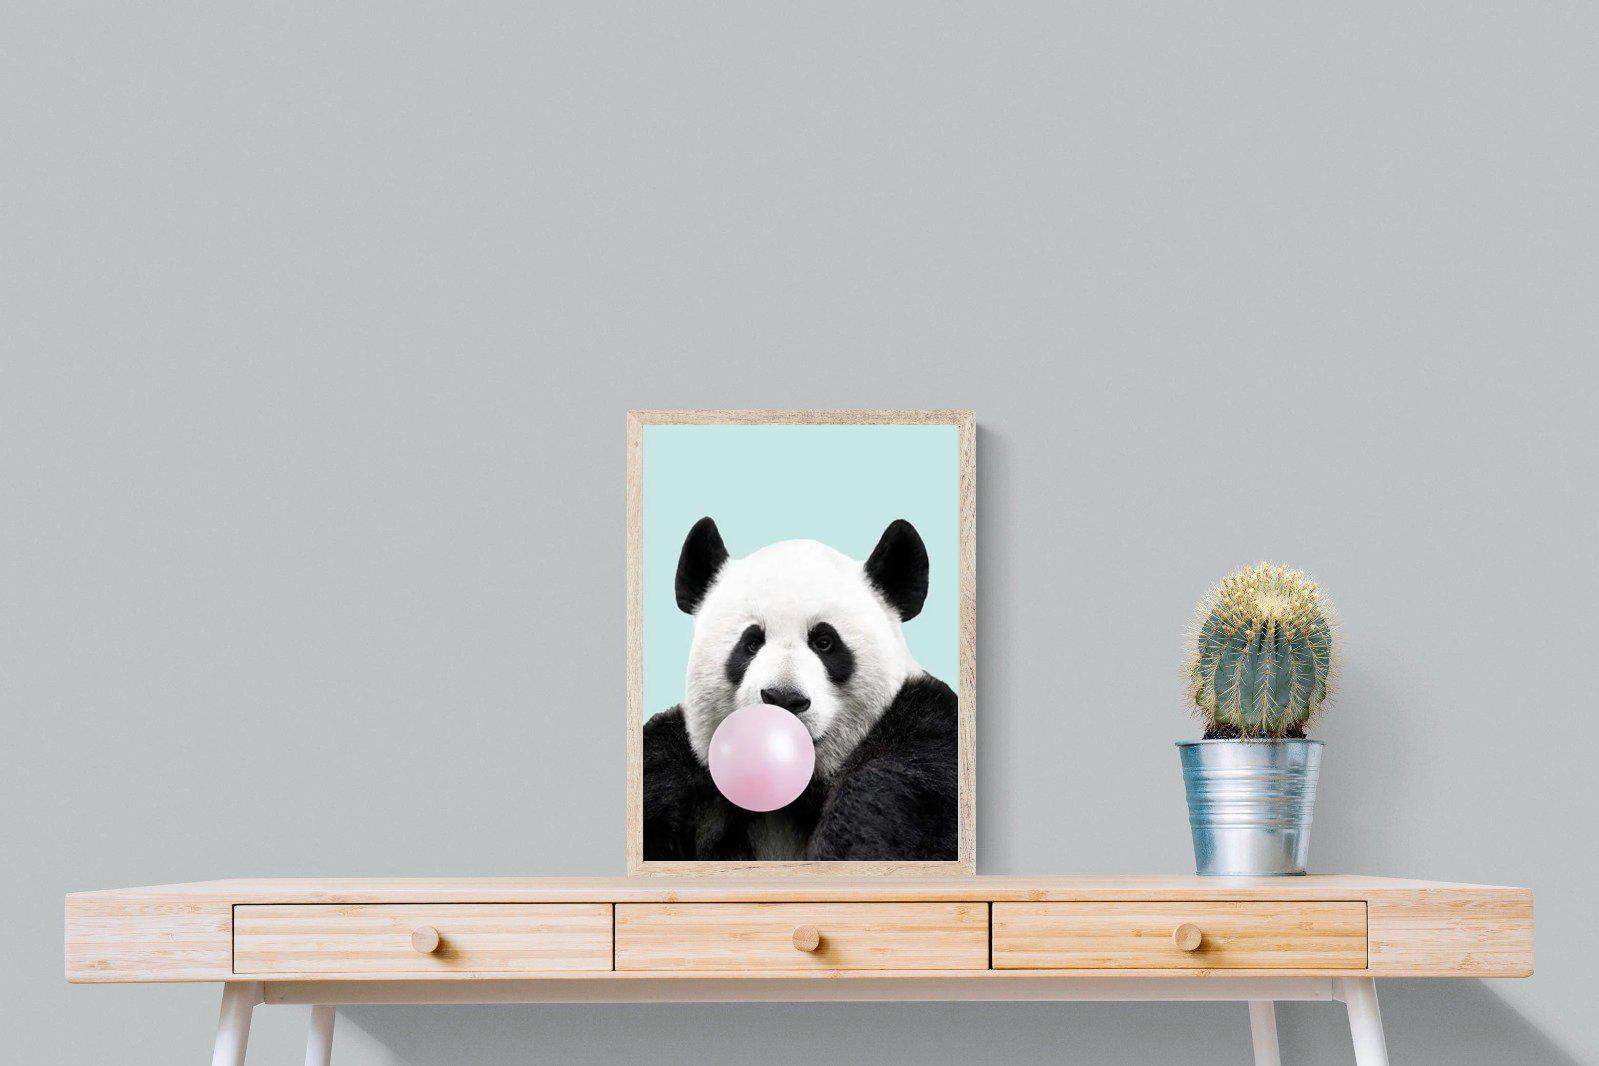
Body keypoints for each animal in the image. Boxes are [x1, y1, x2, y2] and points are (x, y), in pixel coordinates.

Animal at [642, 516, 958, 861]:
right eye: (751, 643)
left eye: (825, 642)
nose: (783, 698)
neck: (792, 796)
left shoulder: (924, 741)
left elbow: (892, 798)